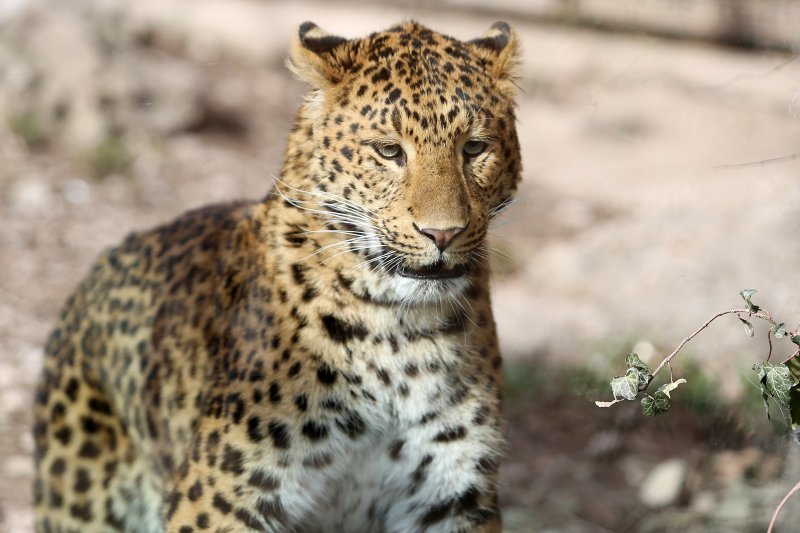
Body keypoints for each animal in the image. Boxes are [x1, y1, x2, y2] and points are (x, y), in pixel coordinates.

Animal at [32, 19, 524, 532]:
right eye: (389, 151)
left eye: (475, 148)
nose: (443, 233)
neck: (399, 333)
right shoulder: (221, 495)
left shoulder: (451, 494)